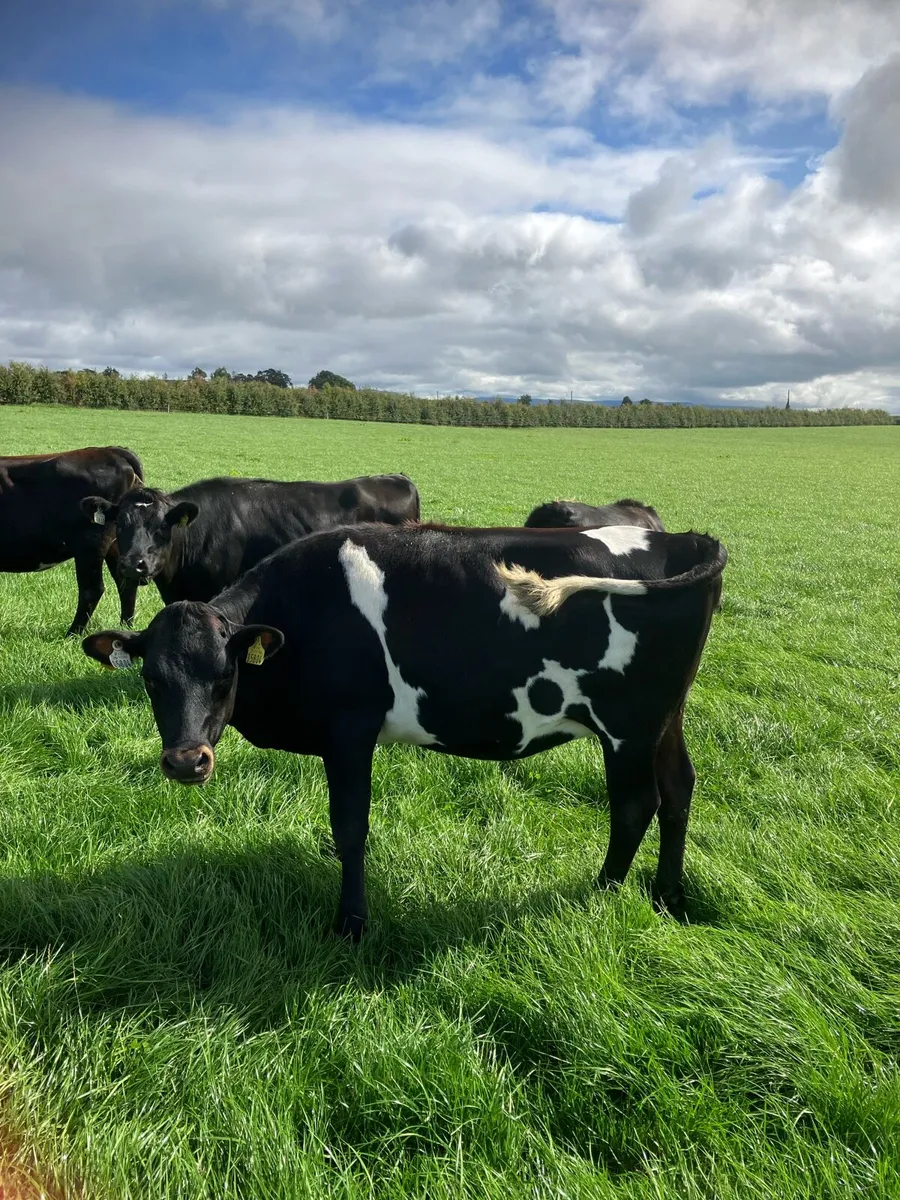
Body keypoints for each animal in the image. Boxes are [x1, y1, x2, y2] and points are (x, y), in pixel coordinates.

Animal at [1, 446, 143, 635]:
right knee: (126, 584)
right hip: (116, 545)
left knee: (92, 589)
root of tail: (109, 450)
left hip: (90, 544)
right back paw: (124, 628)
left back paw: (73, 633)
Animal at [84, 521, 726, 939]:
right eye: (152, 680)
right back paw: (668, 896)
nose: (186, 761)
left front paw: (351, 925)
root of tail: (684, 539)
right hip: (666, 716)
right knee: (678, 788)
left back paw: (603, 892)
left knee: (636, 804)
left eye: (224, 675)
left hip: (628, 724)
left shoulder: (349, 728)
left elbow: (350, 828)